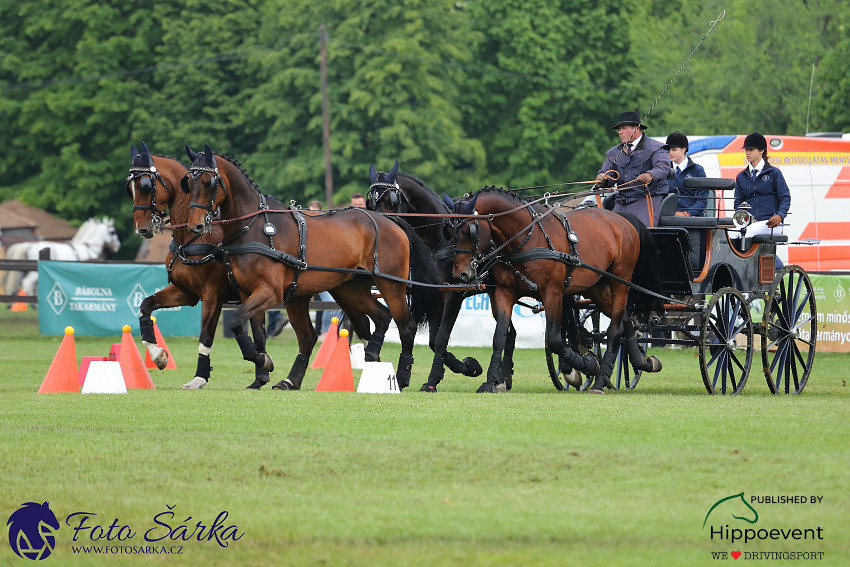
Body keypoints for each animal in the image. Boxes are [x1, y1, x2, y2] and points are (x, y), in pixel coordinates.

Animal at [126, 142, 268, 390]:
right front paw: (158, 355)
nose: (141, 229)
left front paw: (199, 376)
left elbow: (205, 337)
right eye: (129, 188)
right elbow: (146, 305)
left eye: (145, 185)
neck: (192, 239)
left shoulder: (213, 295)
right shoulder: (186, 292)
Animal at [182, 144, 440, 390]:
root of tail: (390, 221)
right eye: (189, 182)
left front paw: (262, 361)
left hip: (391, 285)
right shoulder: (249, 292)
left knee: (406, 326)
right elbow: (257, 334)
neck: (254, 228)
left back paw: (402, 377)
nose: (195, 225)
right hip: (348, 289)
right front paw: (262, 366)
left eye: (207, 182)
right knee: (378, 318)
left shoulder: (270, 292)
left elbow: (236, 321)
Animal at [448, 189, 660, 392]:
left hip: (620, 282)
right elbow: (499, 337)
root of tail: (621, 219)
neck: (527, 238)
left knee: (614, 331)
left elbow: (555, 340)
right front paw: (491, 381)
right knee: (624, 320)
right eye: (450, 231)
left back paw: (600, 382)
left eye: (470, 231)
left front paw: (585, 366)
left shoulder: (553, 293)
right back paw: (643, 362)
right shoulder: (503, 293)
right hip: (596, 288)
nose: (461, 274)